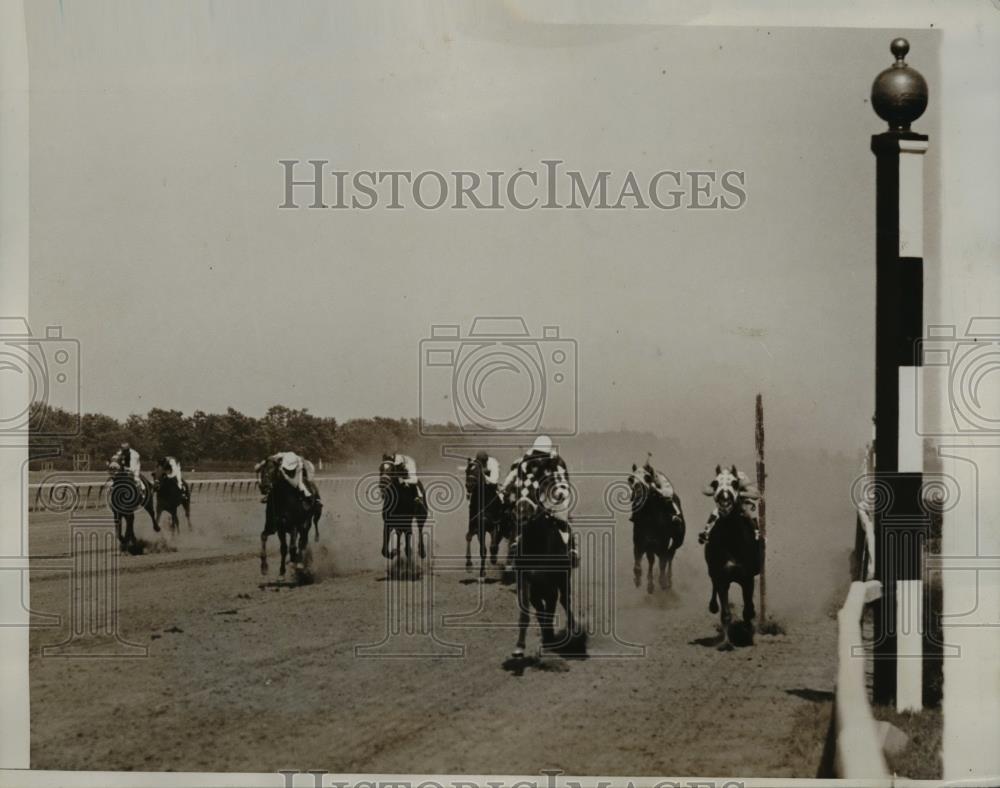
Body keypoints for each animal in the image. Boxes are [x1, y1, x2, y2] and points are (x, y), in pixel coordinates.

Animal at [628, 462, 684, 592]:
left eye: (647, 477)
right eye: (631, 479)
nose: (638, 493)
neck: (650, 521)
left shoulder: (662, 545)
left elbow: (663, 563)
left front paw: (662, 581)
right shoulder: (640, 544)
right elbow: (639, 565)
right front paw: (638, 580)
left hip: (676, 542)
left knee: (670, 557)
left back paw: (668, 579)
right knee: (653, 560)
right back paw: (650, 584)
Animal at [704, 464, 756, 648]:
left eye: (735, 483)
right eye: (714, 483)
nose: (724, 500)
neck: (732, 541)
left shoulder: (747, 578)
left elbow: (748, 610)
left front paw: (747, 637)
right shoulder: (722, 578)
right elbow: (726, 613)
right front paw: (726, 644)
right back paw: (713, 605)